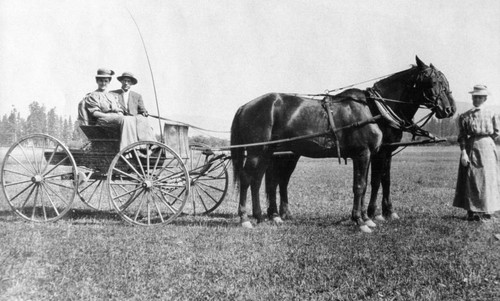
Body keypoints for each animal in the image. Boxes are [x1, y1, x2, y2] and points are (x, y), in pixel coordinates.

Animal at [232, 56, 456, 231]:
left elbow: (373, 182)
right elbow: (362, 185)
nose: (449, 109)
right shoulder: (365, 153)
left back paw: (263, 215)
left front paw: (368, 216)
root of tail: (245, 106)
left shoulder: (375, 153)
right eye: (433, 81)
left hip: (270, 153)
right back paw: (246, 218)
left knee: (261, 180)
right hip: (257, 152)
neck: (372, 108)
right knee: (248, 178)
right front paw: (362, 219)